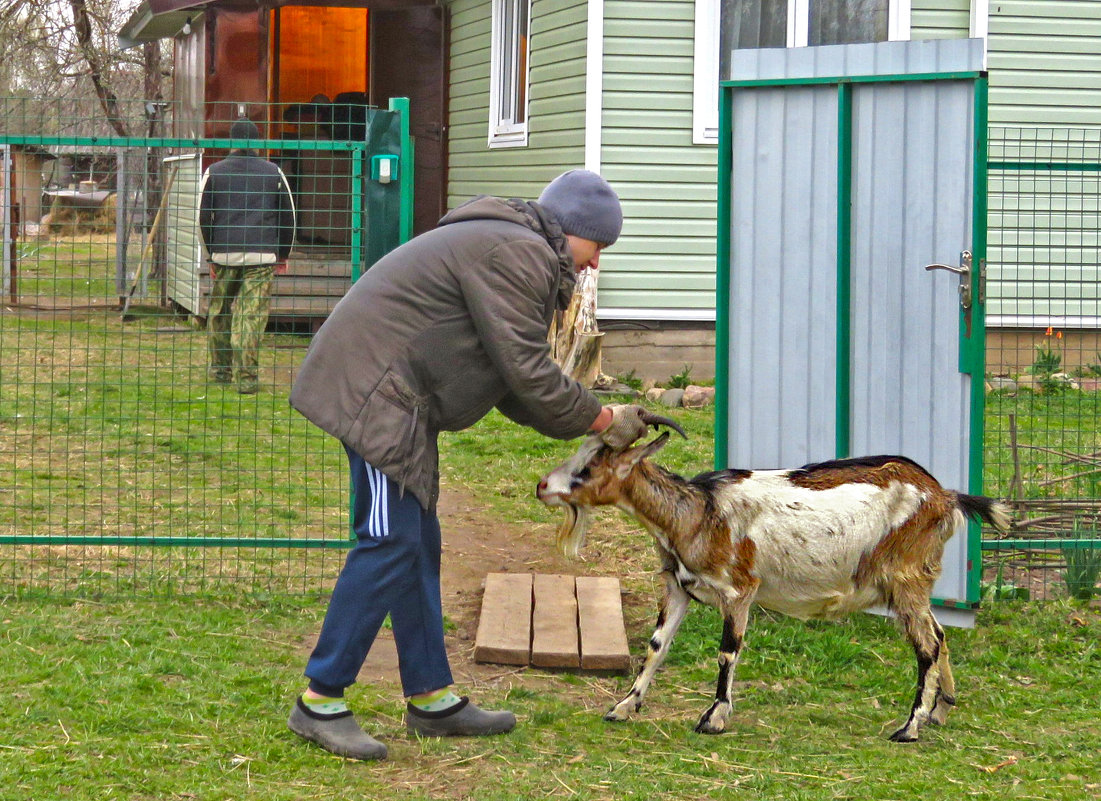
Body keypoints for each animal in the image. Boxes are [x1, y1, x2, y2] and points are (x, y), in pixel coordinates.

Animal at [537, 431, 1008, 743]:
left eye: (587, 468)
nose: (542, 486)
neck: (697, 513)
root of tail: (945, 496)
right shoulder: (677, 587)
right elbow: (656, 646)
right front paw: (623, 707)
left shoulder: (738, 589)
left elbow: (727, 652)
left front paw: (713, 718)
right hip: (914, 583)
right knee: (940, 634)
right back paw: (939, 711)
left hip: (904, 577)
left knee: (927, 645)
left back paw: (909, 727)